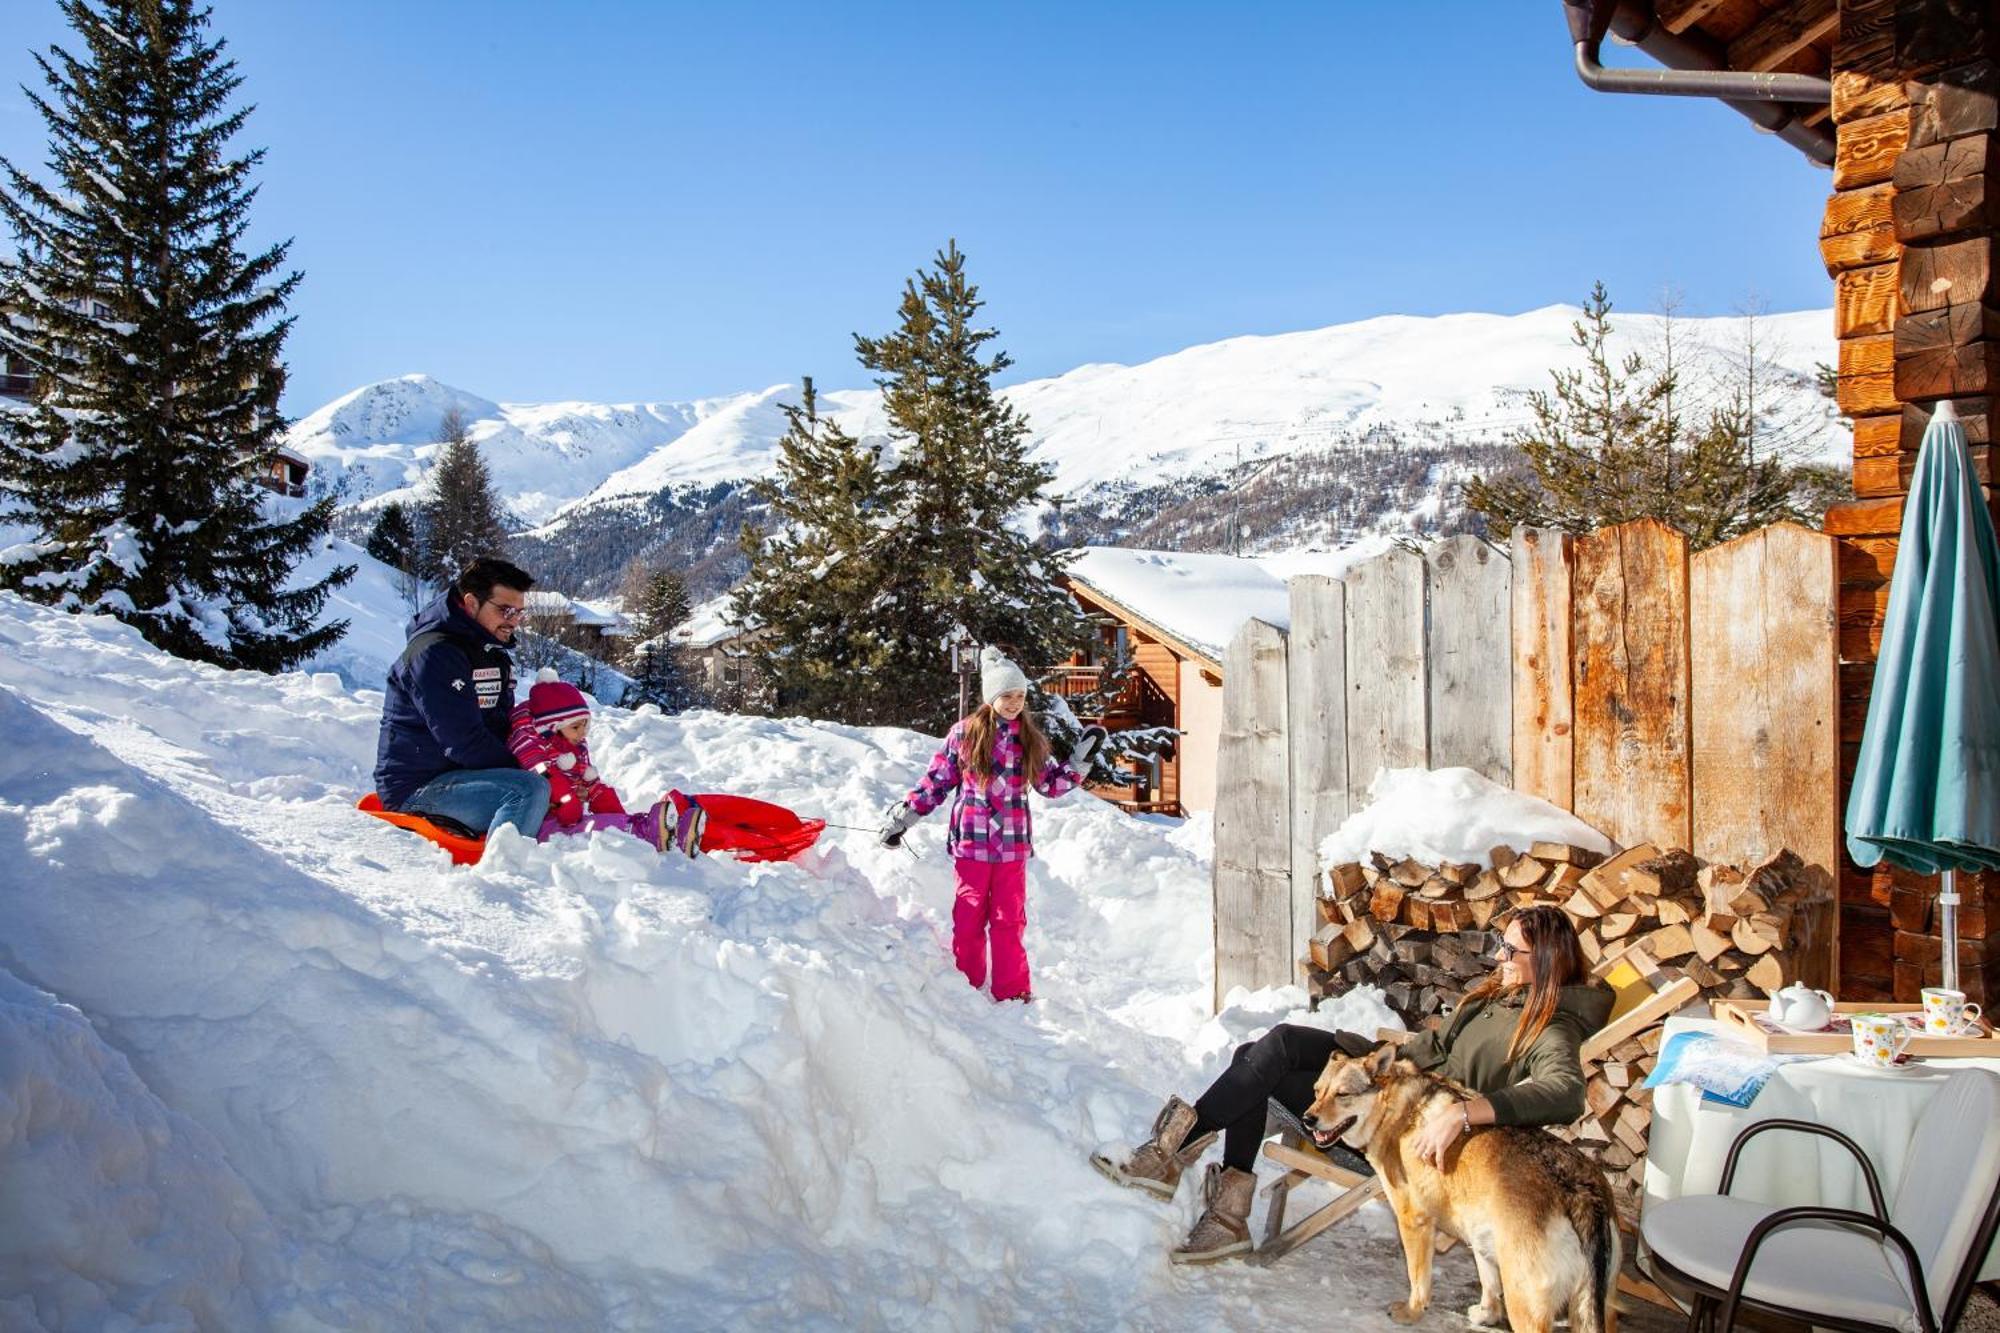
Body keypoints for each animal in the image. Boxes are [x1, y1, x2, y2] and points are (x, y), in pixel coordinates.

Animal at [1304, 1040, 1616, 1320]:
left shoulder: (1414, 1220)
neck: (1398, 1111)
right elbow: (1487, 1284)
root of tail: (1582, 1192)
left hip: (1522, 1297)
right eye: (1317, 1091)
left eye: (1342, 1094)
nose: (1308, 1119)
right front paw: (1484, 1313)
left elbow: (1418, 1279)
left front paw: (1411, 1312)